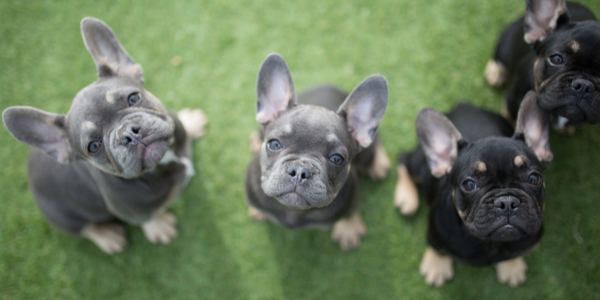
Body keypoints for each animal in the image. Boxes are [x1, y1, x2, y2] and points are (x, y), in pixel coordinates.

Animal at [2, 17, 207, 254]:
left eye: (134, 98)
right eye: (94, 146)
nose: (129, 134)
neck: (164, 161)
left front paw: (190, 122)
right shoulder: (131, 211)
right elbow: (146, 218)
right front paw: (159, 227)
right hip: (64, 216)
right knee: (85, 229)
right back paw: (108, 236)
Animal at [244, 53, 390, 251]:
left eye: (337, 159)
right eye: (274, 144)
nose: (299, 171)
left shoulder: (351, 195)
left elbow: (351, 212)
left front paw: (349, 229)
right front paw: (256, 210)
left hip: (368, 154)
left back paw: (379, 164)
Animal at [394, 92, 552, 288]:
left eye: (534, 178)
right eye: (469, 185)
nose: (507, 201)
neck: (489, 244)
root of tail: (464, 106)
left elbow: (515, 254)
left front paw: (512, 267)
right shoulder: (436, 234)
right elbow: (436, 248)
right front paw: (437, 267)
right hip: (419, 165)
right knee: (404, 160)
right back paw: (406, 197)